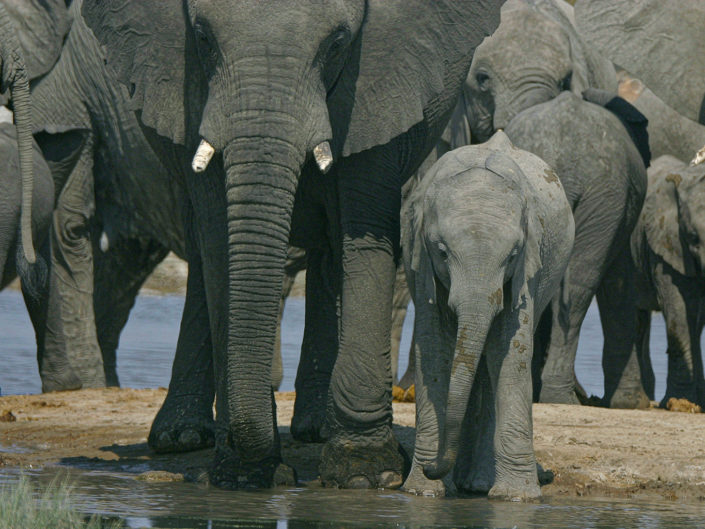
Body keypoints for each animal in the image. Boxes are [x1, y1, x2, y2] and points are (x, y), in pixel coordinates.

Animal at [82, 0, 505, 489]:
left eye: (337, 43)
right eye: (202, 37)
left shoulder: (378, 87)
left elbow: (361, 233)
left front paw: (366, 474)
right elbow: (219, 241)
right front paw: (242, 474)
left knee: (330, 257)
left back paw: (317, 429)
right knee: (203, 259)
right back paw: (181, 437)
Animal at [400, 131, 574, 500]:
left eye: (511, 256)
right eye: (441, 251)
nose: (432, 466)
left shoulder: (527, 269)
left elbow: (510, 352)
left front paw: (517, 497)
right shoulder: (420, 262)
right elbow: (434, 349)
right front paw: (423, 492)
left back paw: (478, 484)